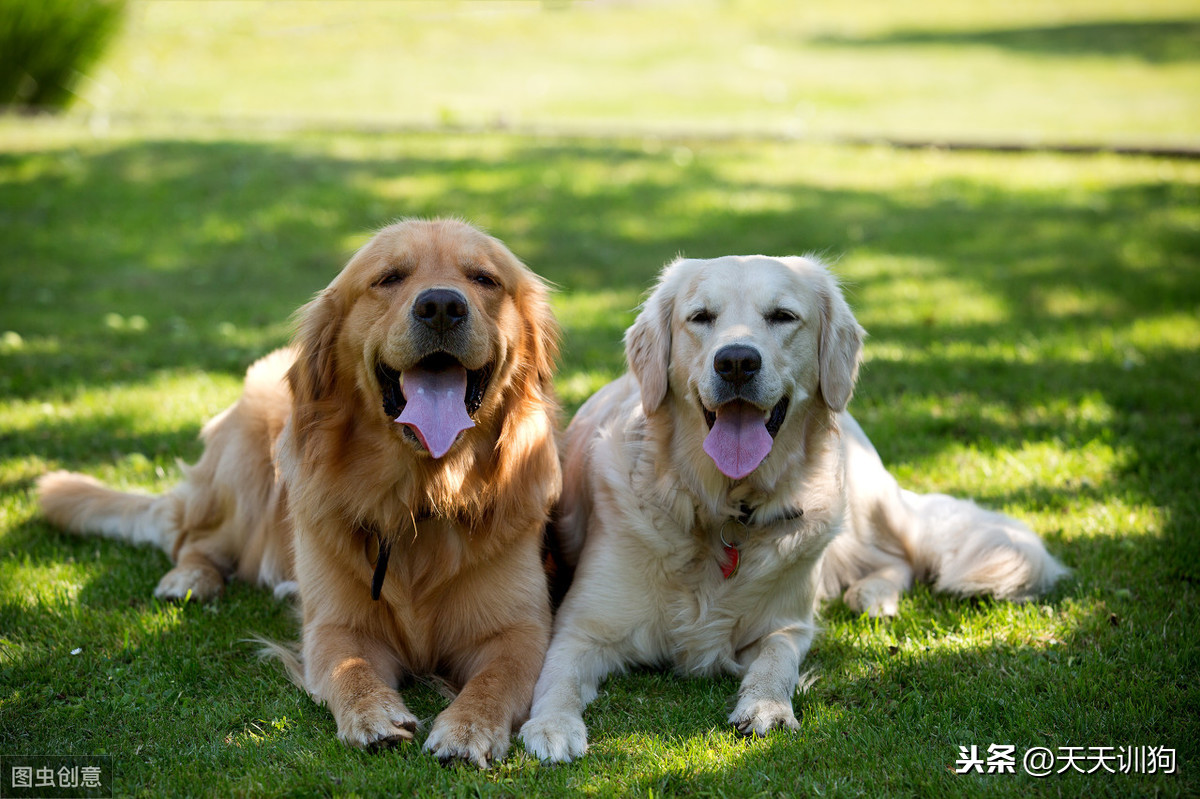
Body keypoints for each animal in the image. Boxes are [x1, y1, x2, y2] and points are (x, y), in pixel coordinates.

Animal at [38, 214, 561, 763]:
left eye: (484, 279)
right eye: (389, 278)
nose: (441, 306)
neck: (422, 495)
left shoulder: (520, 630)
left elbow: (495, 679)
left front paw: (467, 728)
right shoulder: (337, 625)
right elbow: (348, 668)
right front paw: (372, 715)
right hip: (245, 457)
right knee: (195, 540)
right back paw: (190, 578)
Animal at [520, 253, 1065, 758]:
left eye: (783, 316)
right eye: (700, 317)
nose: (736, 362)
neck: (723, 511)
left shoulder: (787, 623)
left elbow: (777, 660)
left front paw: (767, 706)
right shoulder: (580, 627)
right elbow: (556, 677)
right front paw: (553, 725)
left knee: (900, 557)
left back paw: (873, 595)